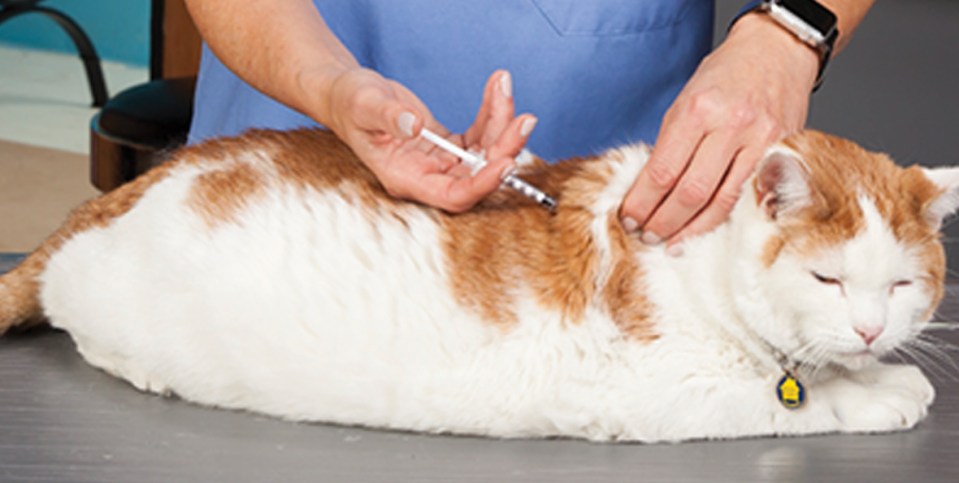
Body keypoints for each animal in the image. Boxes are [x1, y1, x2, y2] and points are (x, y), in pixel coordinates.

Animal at [1, 127, 959, 442]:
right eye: (827, 277)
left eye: (901, 284)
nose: (871, 330)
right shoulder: (662, 388)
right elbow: (795, 401)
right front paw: (875, 392)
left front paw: (878, 371)